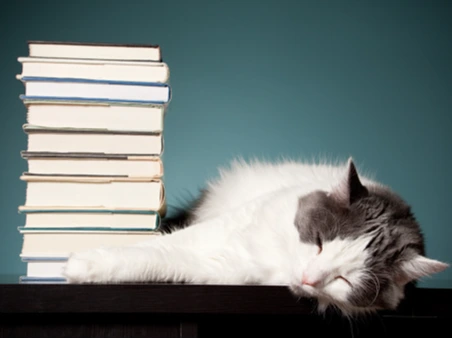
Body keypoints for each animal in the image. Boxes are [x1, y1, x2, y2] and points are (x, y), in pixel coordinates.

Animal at [61, 158, 446, 318]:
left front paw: (84, 265)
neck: (280, 262)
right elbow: (156, 246)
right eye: (319, 241)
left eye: (345, 279)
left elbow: (159, 261)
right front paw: (83, 262)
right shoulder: (226, 226)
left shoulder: (226, 270)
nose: (309, 278)